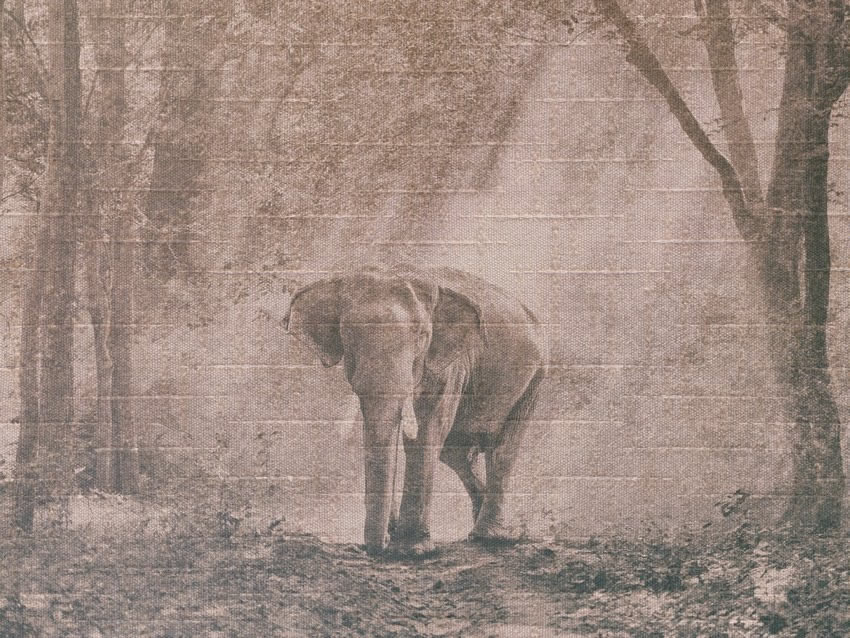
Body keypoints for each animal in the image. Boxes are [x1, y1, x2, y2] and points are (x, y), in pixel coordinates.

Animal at [285, 265, 547, 556]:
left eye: (422, 337)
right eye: (347, 336)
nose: (377, 547)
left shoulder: (448, 364)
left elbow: (426, 433)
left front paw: (411, 551)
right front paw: (396, 537)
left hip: (534, 378)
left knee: (502, 449)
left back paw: (492, 537)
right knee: (454, 453)